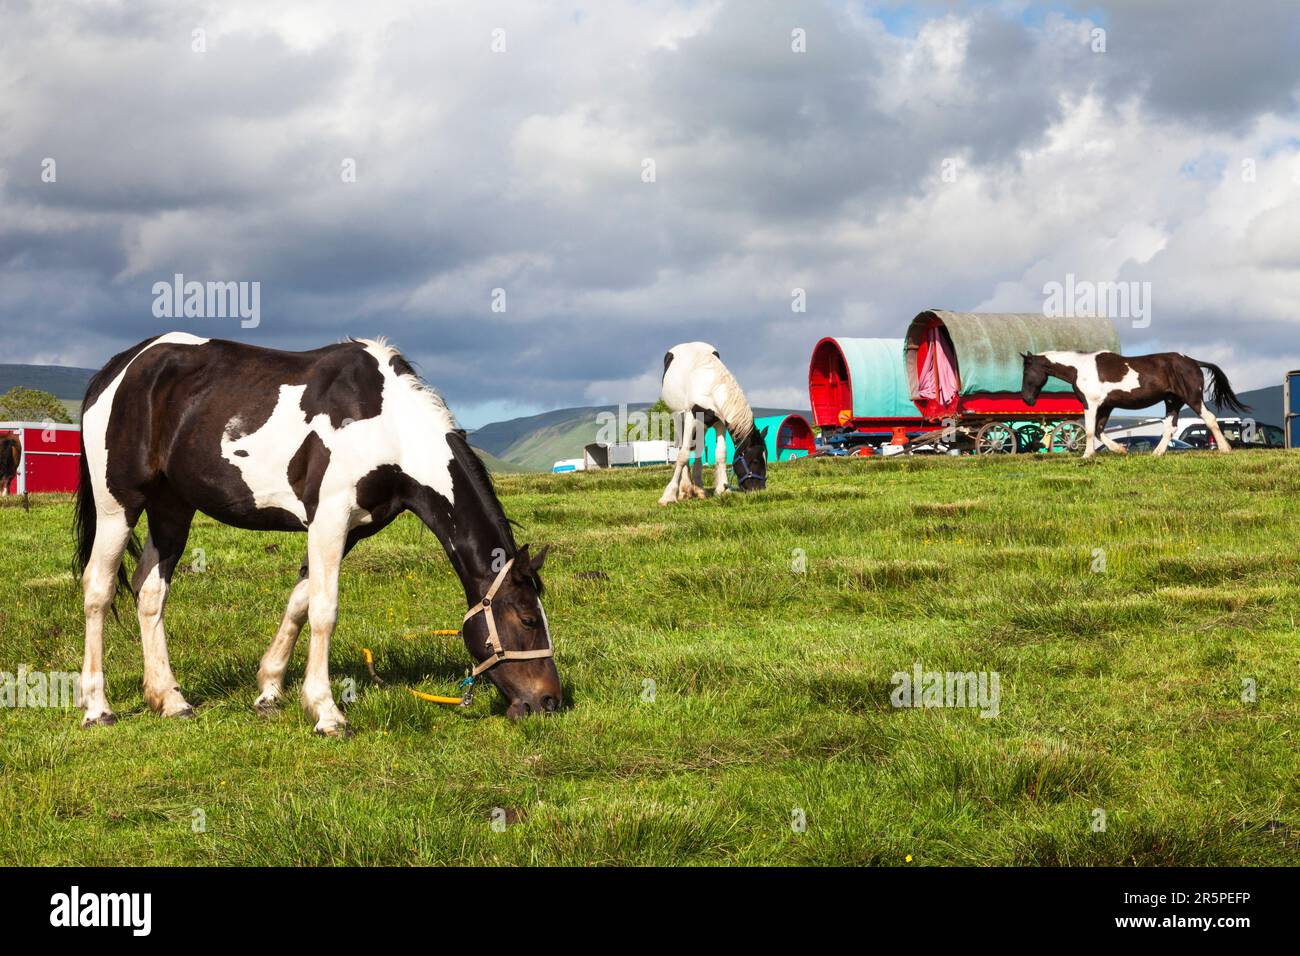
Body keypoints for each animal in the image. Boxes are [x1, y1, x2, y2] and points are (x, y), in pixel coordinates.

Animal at [71, 332, 559, 738]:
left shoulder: (349, 530)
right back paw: (97, 707)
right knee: (98, 588)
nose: (550, 701)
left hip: (172, 507)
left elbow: (300, 602)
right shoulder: (329, 518)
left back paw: (170, 699)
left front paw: (270, 689)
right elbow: (325, 610)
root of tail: (119, 368)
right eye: (528, 620)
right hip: (120, 505)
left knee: (150, 591)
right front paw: (326, 712)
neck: (388, 426)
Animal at [655, 343, 764, 509]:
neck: (710, 383)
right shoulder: (690, 416)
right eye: (756, 460)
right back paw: (685, 489)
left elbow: (721, 454)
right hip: (678, 416)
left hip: (703, 424)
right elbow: (683, 455)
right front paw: (669, 496)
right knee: (682, 447)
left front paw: (723, 490)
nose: (760, 489)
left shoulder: (719, 422)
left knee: (699, 448)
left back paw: (699, 489)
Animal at [1024, 351, 1248, 460]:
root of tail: (1193, 362)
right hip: (1172, 401)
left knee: (1209, 418)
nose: (1027, 399)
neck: (1080, 368)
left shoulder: (1092, 404)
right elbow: (1099, 431)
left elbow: (1089, 431)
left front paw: (1087, 455)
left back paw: (1225, 448)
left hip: (1192, 398)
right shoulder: (1106, 406)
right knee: (1170, 428)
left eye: (1026, 371)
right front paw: (1121, 449)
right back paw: (1157, 453)